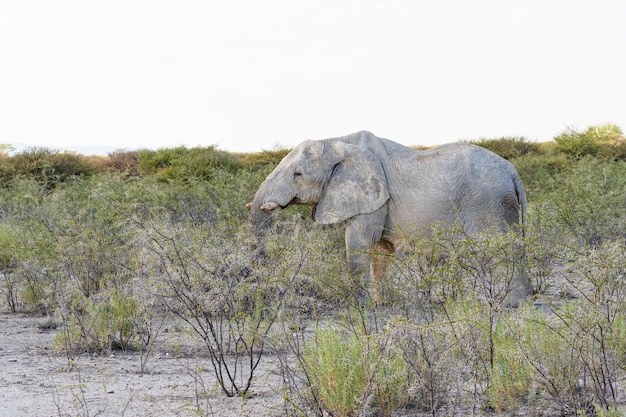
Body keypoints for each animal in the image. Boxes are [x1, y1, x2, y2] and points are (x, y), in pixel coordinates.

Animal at [246, 132, 528, 304]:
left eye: (298, 174)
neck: (336, 141)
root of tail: (512, 171)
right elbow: (381, 249)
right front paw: (382, 303)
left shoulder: (375, 195)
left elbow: (358, 242)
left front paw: (357, 304)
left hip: (489, 203)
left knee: (502, 249)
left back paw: (511, 303)